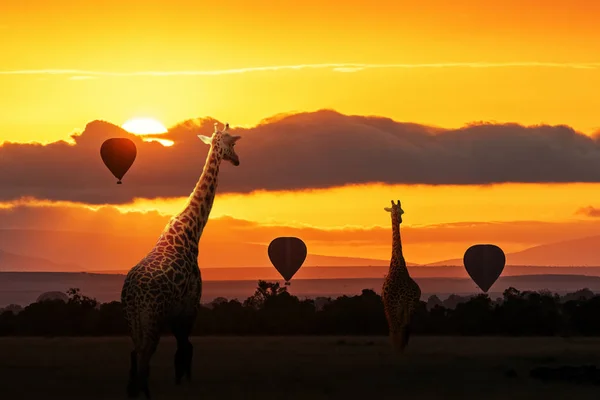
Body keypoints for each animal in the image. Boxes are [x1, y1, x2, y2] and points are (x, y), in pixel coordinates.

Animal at [120, 122, 240, 396]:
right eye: (233, 142)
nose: (237, 160)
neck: (191, 230)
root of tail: (132, 294)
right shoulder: (190, 306)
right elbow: (184, 351)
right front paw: (184, 385)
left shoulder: (177, 313)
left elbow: (182, 351)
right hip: (151, 320)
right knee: (144, 361)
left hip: (133, 322)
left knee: (136, 359)